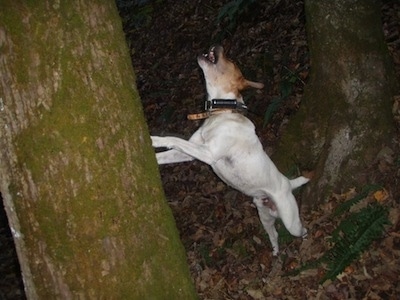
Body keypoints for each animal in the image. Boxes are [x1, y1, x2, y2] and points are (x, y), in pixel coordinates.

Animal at [152, 45, 308, 254]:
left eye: (231, 59)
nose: (218, 45)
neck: (222, 112)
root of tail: (288, 183)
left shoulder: (208, 153)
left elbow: (173, 139)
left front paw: (153, 139)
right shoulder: (190, 152)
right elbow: (169, 152)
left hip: (291, 222)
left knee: (302, 229)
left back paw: (305, 240)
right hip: (264, 215)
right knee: (274, 234)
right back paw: (275, 251)